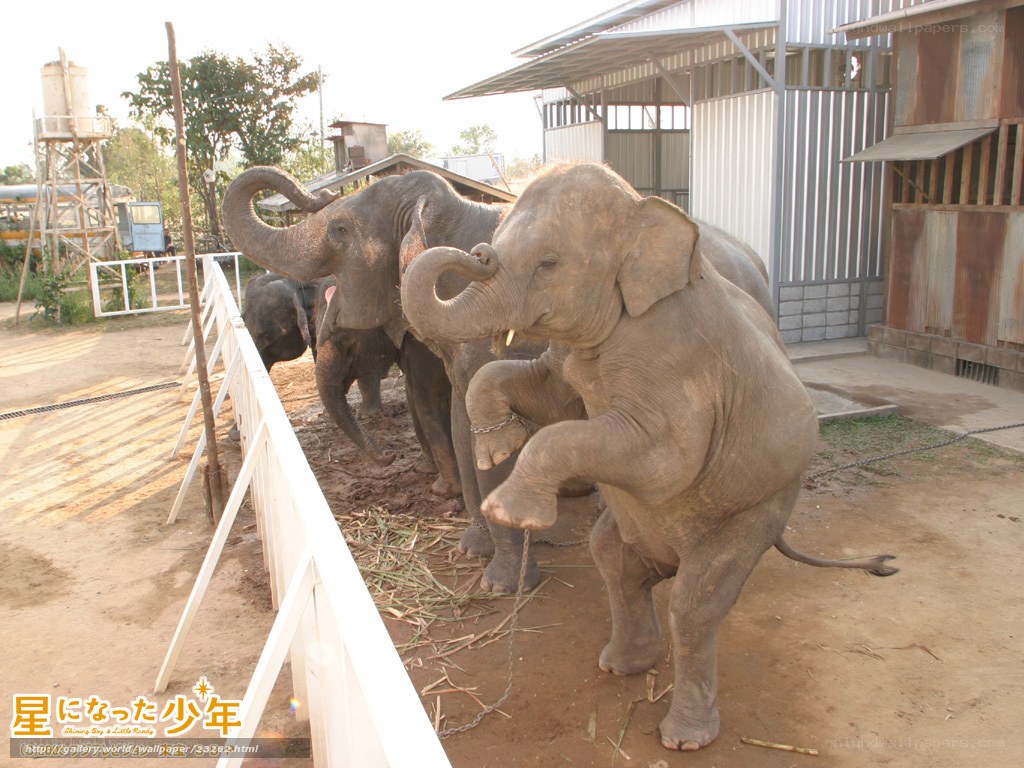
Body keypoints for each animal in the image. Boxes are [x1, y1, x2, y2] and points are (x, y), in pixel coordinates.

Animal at [400, 163, 898, 751]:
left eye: (549, 262)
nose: (479, 253)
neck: (643, 213)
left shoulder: (676, 360)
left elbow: (660, 460)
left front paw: (512, 507)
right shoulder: (573, 356)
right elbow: (546, 394)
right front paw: (497, 444)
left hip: (759, 507)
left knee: (694, 605)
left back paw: (683, 737)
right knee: (615, 560)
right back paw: (622, 664)